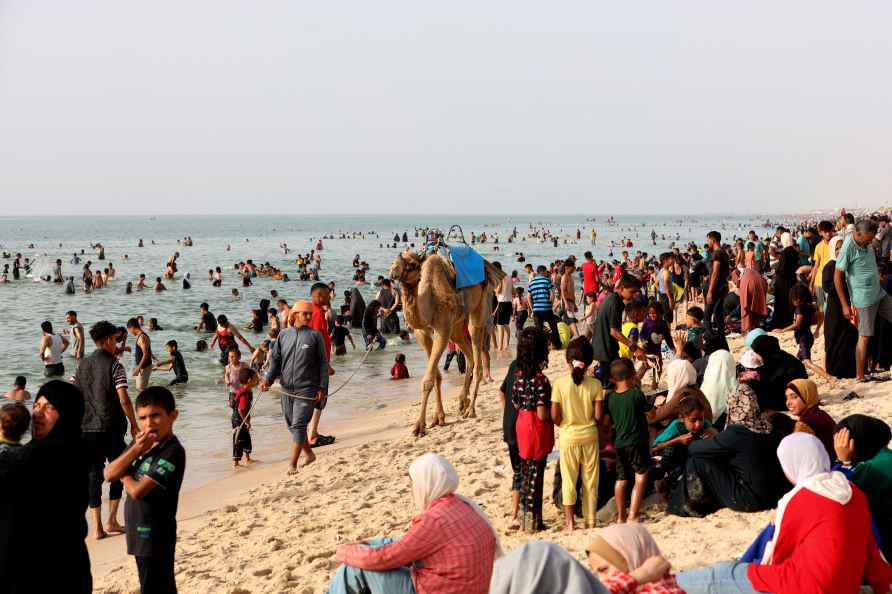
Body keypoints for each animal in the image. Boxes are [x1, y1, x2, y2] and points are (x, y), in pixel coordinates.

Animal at [388, 247, 506, 432]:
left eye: (412, 264)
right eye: (395, 259)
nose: (393, 271)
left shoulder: (442, 329)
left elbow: (428, 379)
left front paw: (419, 426)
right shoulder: (422, 332)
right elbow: (436, 375)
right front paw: (438, 418)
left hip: (480, 305)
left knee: (476, 351)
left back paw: (471, 410)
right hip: (456, 327)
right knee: (469, 356)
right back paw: (463, 402)